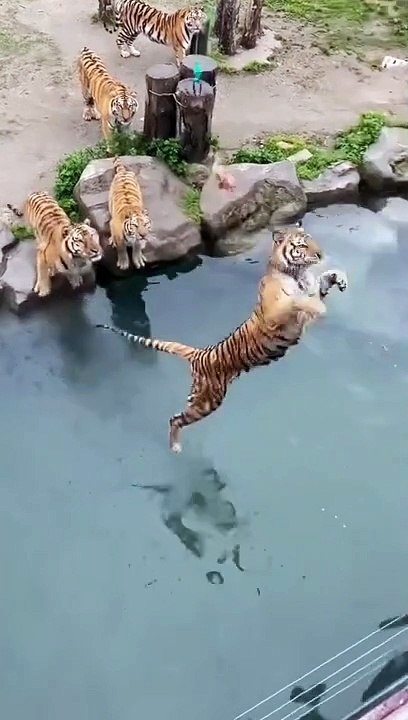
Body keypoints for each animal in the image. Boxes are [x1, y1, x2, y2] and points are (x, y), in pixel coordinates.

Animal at [96, 222, 348, 452]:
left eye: (312, 241)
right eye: (303, 244)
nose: (321, 254)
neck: (296, 272)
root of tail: (199, 354)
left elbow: (320, 284)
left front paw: (338, 277)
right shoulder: (276, 314)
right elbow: (297, 300)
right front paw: (320, 303)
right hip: (207, 401)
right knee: (175, 419)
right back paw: (175, 447)